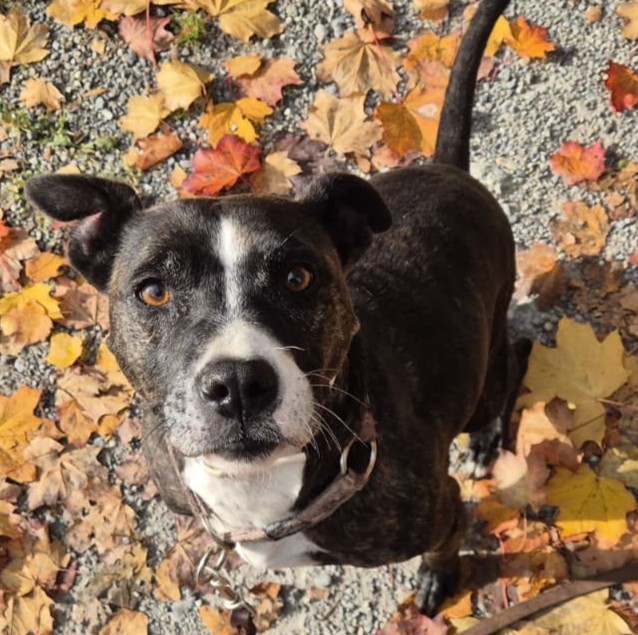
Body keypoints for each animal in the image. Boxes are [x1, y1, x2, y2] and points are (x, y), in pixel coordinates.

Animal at [26, 0, 515, 616]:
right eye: (154, 291)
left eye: (297, 277)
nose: (237, 384)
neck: (258, 488)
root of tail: (450, 170)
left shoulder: (441, 507)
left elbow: (445, 543)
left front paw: (436, 579)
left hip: (487, 354)